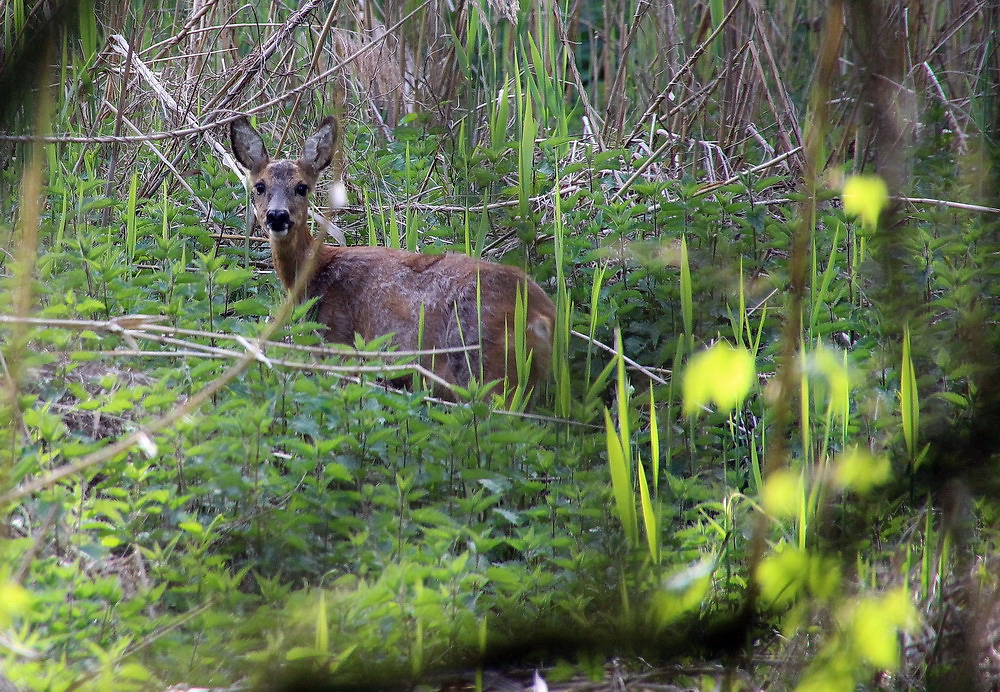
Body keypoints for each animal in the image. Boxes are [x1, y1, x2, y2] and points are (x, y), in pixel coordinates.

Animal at [229, 115, 556, 400]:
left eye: (301, 187)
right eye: (259, 187)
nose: (277, 216)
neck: (316, 275)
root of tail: (543, 315)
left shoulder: (340, 343)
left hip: (485, 365)